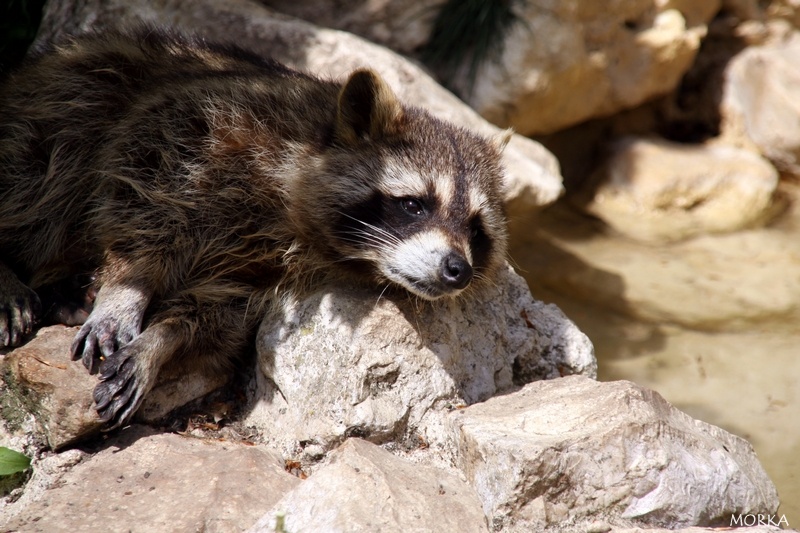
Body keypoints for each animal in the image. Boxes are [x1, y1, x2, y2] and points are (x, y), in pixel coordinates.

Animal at [0, 28, 510, 428]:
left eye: (474, 229)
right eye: (413, 206)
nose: (457, 270)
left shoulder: (260, 272)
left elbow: (220, 313)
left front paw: (162, 341)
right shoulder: (214, 124)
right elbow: (138, 177)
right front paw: (127, 286)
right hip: (68, 90)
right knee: (44, 157)